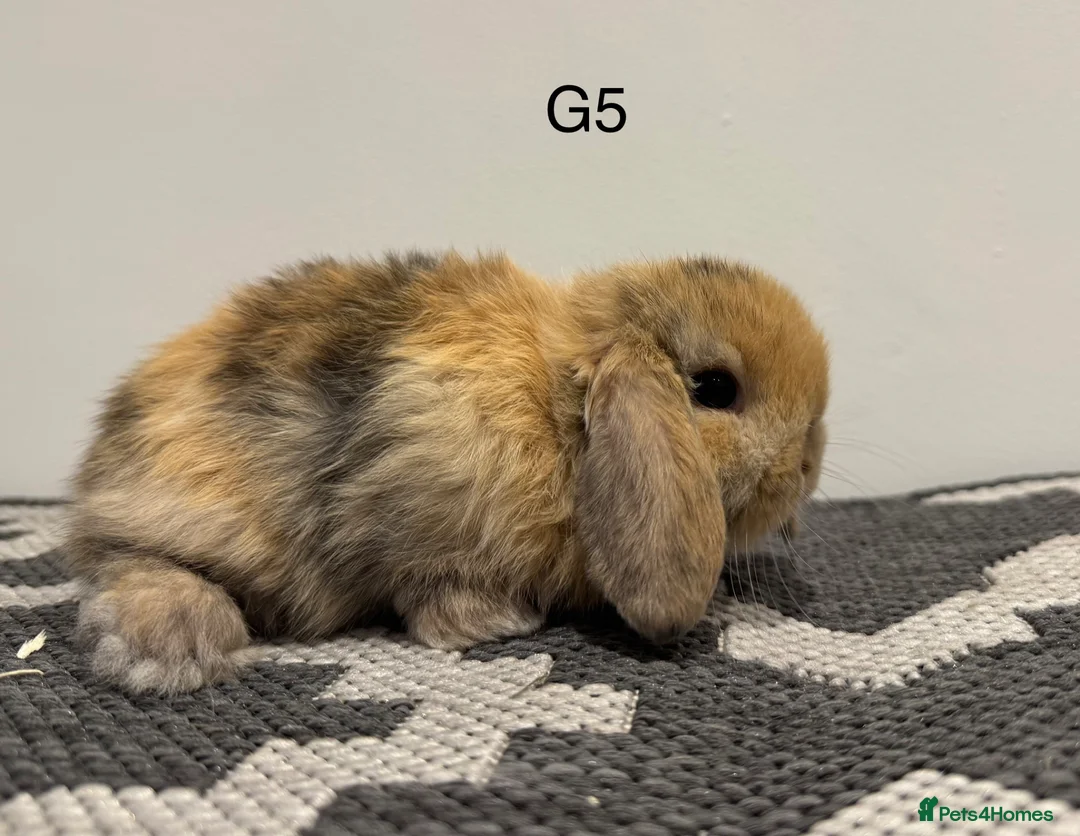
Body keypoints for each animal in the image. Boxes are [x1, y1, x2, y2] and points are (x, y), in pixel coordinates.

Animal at [64, 251, 829, 694]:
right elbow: (434, 586)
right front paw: (498, 625)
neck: (558, 414)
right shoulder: (423, 512)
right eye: (715, 389)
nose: (806, 464)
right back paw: (173, 649)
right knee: (126, 557)